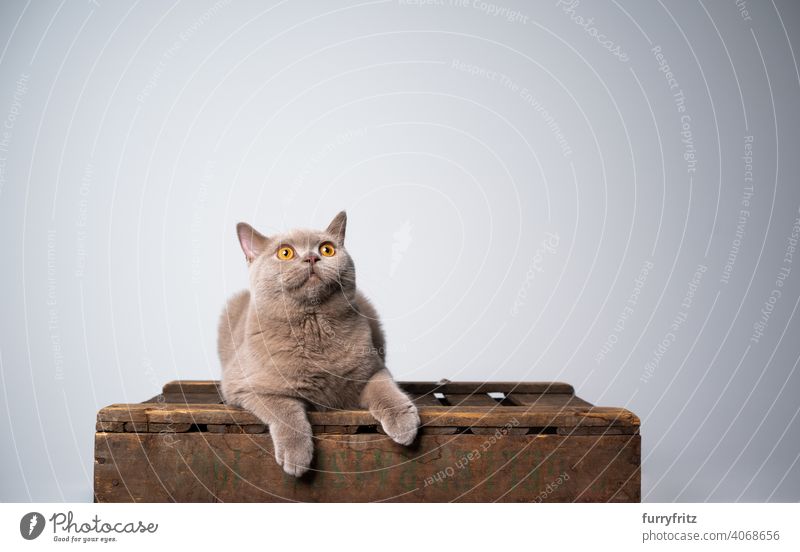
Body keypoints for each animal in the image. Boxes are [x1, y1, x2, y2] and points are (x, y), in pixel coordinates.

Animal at [219, 213, 418, 476]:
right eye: (285, 253)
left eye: (327, 249)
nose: (312, 257)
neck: (314, 328)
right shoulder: (245, 386)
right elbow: (284, 409)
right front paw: (296, 455)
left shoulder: (373, 369)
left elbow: (386, 390)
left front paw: (404, 422)